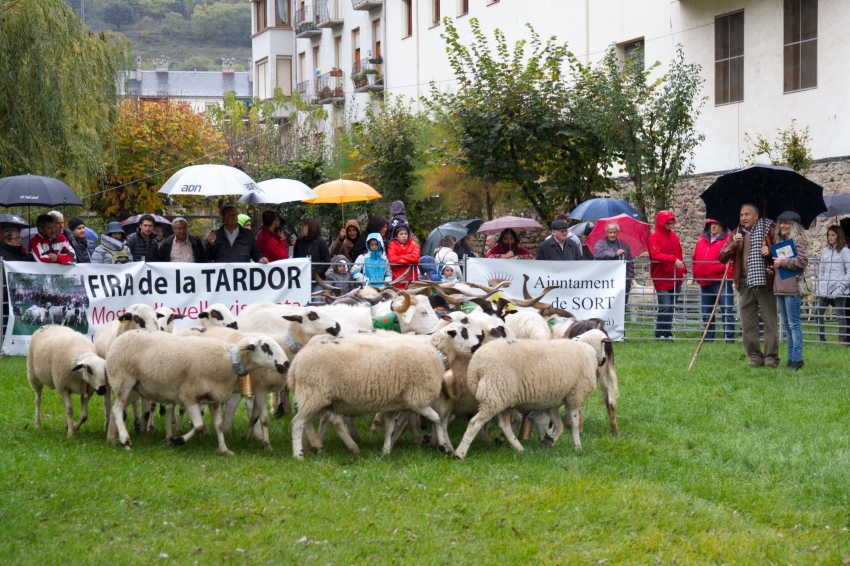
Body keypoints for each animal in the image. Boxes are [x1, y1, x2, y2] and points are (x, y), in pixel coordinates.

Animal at [102, 332, 288, 458]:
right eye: (266, 347)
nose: (286, 364)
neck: (227, 361)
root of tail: (115, 342)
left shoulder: (214, 399)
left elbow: (219, 425)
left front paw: (224, 449)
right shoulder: (189, 396)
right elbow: (198, 426)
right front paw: (176, 441)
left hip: (134, 389)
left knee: (115, 408)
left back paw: (112, 438)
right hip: (123, 380)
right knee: (117, 409)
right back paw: (125, 441)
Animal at [288, 324, 476, 462]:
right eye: (464, 332)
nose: (476, 346)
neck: (437, 352)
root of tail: (295, 364)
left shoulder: (393, 404)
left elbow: (390, 427)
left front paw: (386, 450)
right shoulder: (417, 399)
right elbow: (437, 419)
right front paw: (444, 446)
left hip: (321, 399)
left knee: (309, 423)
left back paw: (318, 446)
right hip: (314, 394)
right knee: (298, 423)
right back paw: (299, 454)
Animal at [450, 332, 608, 462]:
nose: (605, 360)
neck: (588, 350)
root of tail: (475, 367)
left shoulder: (552, 401)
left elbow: (559, 425)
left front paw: (550, 440)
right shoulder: (575, 396)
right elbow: (574, 425)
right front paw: (577, 447)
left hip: (501, 398)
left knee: (504, 425)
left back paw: (518, 448)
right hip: (494, 395)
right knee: (475, 423)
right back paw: (460, 453)